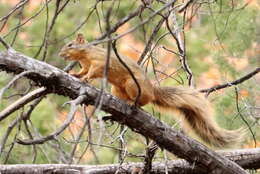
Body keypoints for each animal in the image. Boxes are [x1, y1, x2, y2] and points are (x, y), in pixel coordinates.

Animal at [59, 33, 242, 147]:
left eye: (70, 45)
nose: (61, 54)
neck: (85, 55)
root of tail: (153, 90)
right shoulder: (86, 65)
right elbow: (83, 71)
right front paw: (76, 75)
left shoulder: (99, 63)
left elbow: (93, 72)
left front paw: (85, 79)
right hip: (116, 88)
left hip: (132, 84)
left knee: (143, 102)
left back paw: (133, 103)